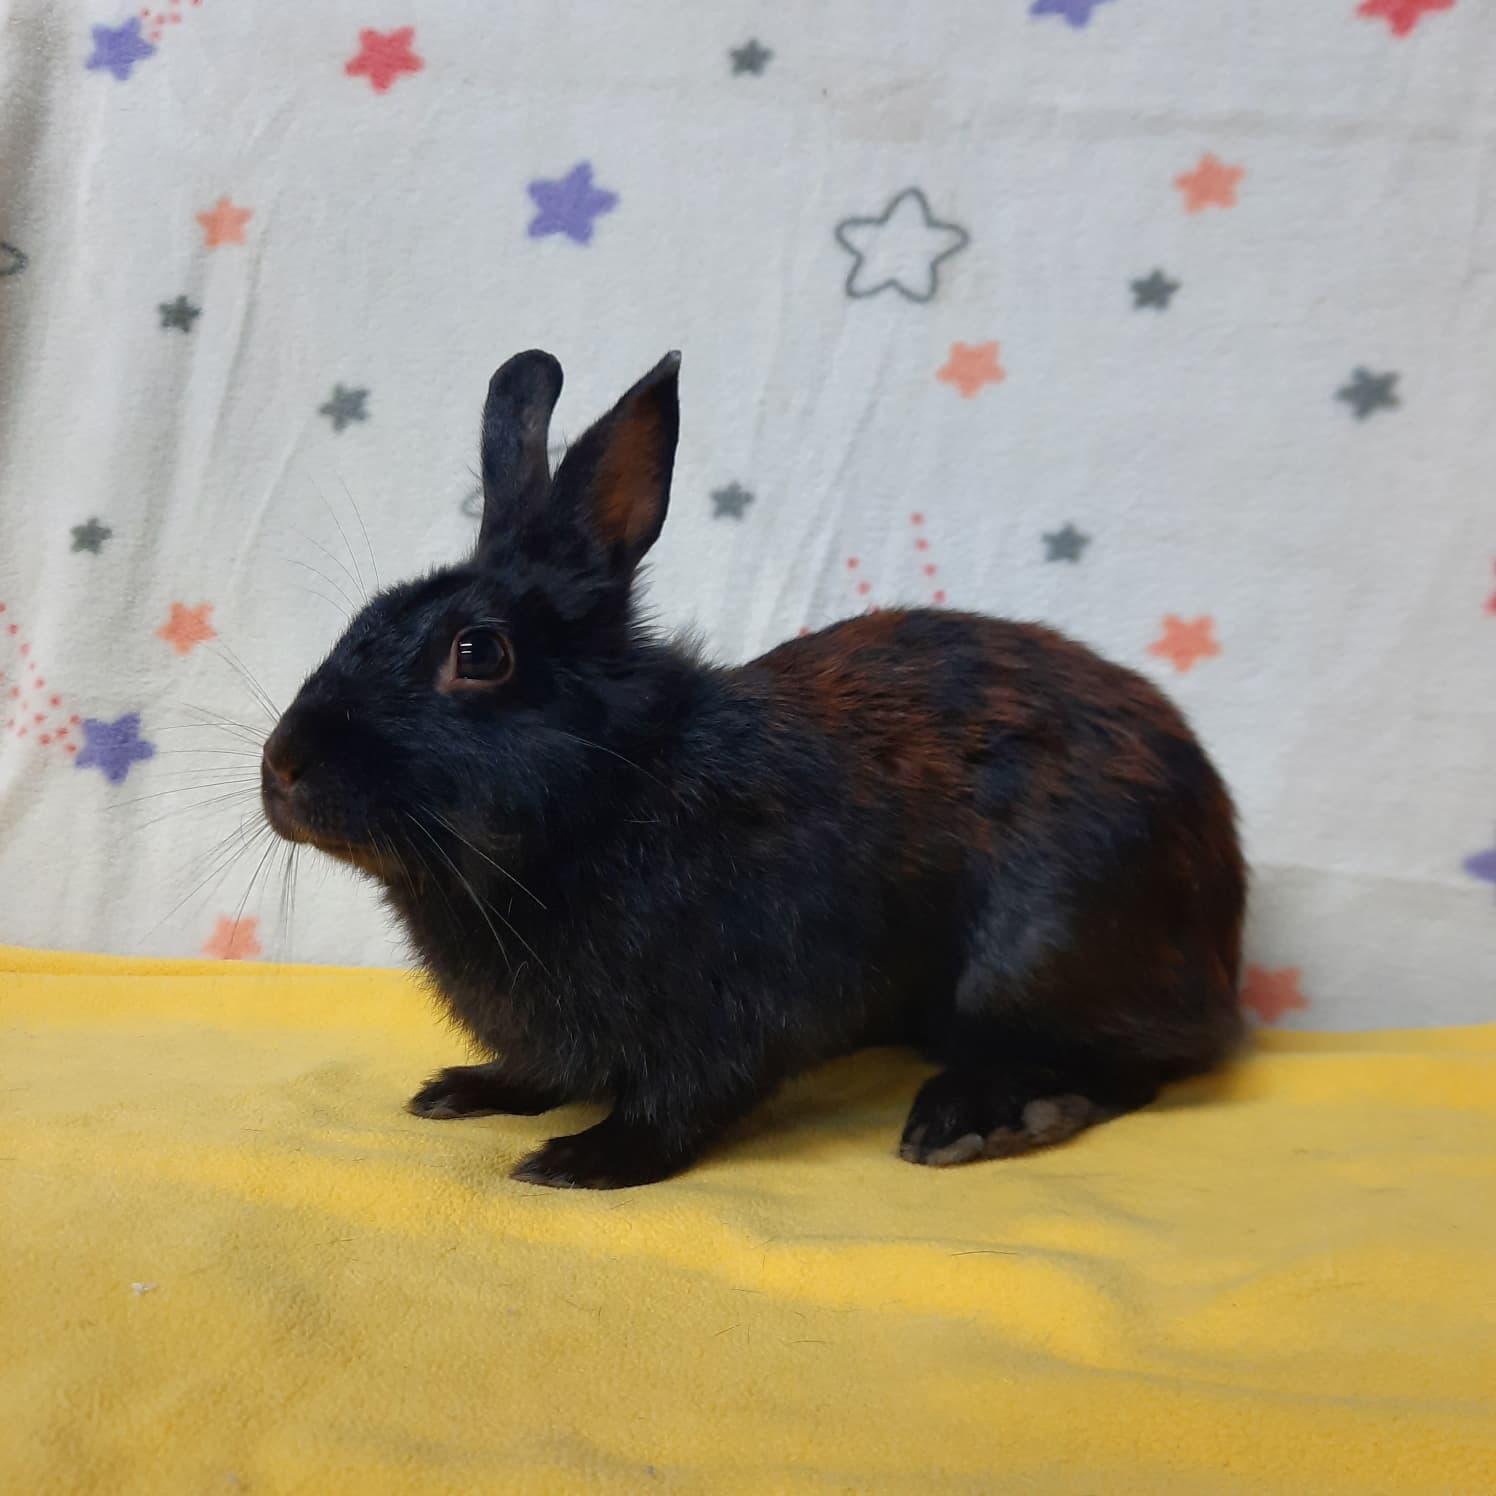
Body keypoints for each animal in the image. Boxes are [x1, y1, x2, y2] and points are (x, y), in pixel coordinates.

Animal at [260, 349, 1246, 1189]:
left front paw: (585, 1159)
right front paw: (465, 1090)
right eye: (366, 617)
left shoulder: (742, 995)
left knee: (1132, 1066)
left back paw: (980, 1118)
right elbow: (545, 1069)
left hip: (1037, 957)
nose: (284, 766)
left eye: (479, 653)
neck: (616, 788)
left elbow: (683, 1098)